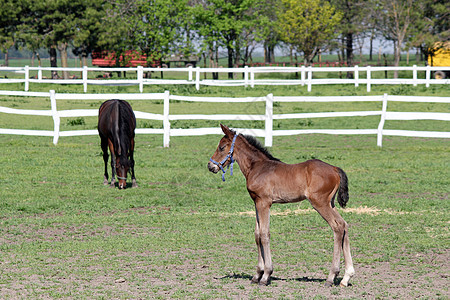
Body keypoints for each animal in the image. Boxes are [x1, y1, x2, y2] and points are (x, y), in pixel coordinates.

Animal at [208, 125, 356, 288]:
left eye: (222, 147)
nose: (210, 166)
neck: (257, 167)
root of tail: (335, 168)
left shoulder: (264, 203)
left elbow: (264, 234)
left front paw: (266, 275)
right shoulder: (256, 203)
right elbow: (257, 234)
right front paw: (257, 274)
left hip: (320, 203)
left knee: (337, 227)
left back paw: (331, 276)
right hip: (330, 203)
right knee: (344, 225)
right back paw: (346, 277)